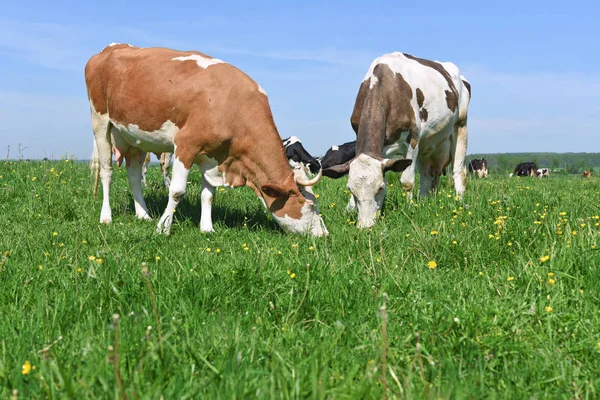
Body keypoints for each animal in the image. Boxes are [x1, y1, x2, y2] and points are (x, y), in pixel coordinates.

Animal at [322, 52, 472, 228]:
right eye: (351, 190)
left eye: (380, 188)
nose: (366, 226)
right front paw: (349, 209)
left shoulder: (413, 139)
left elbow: (407, 181)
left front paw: (409, 207)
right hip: (428, 143)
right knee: (428, 175)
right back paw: (423, 201)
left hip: (460, 125)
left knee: (458, 171)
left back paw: (459, 201)